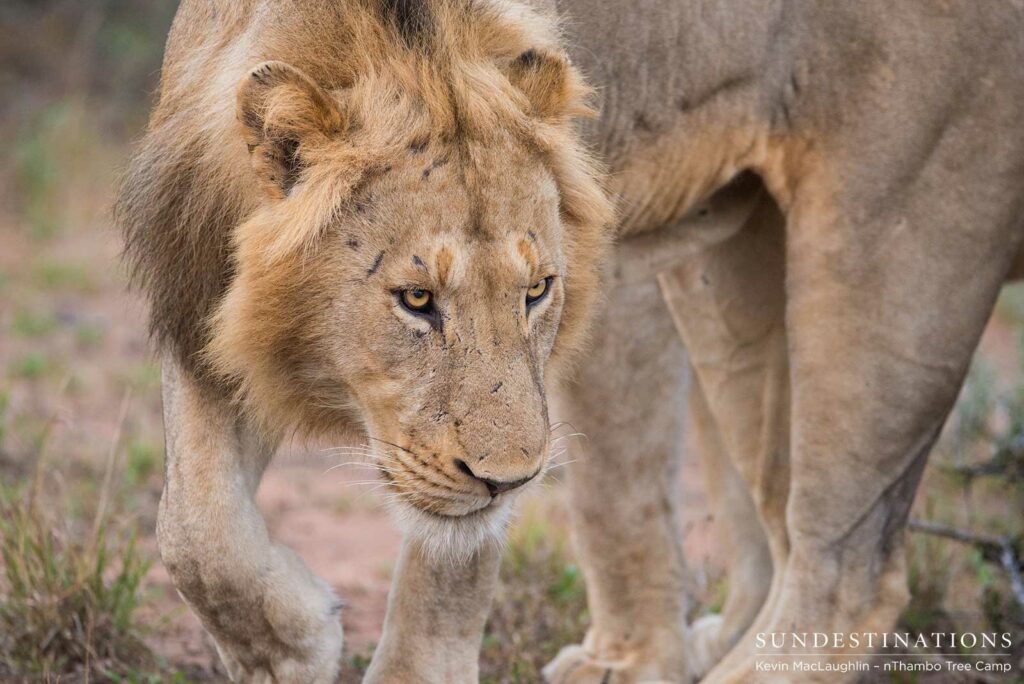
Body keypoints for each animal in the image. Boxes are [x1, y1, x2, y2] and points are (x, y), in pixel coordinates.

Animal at [117, 0, 1024, 682]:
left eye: (537, 291)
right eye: (417, 301)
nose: (507, 481)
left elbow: (490, 548)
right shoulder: (200, 304)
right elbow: (195, 530)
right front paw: (290, 648)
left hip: (890, 252)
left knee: (850, 572)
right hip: (735, 271)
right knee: (779, 518)